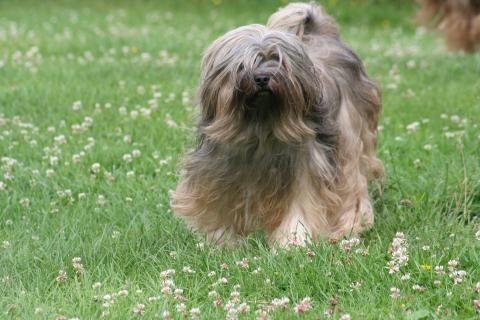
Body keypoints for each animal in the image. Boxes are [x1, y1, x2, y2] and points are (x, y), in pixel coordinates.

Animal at [171, 2, 384, 246]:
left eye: (278, 60)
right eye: (243, 65)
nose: (263, 78)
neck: (262, 126)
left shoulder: (306, 165)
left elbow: (301, 203)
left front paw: (293, 241)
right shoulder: (218, 167)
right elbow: (220, 204)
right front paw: (221, 241)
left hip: (349, 138)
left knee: (352, 185)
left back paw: (349, 227)